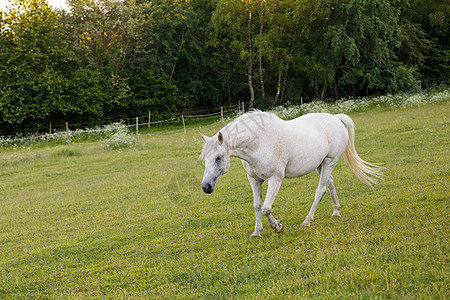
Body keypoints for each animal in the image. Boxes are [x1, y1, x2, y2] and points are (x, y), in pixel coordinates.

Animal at [202, 111, 382, 238]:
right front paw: (257, 232)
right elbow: (257, 206)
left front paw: (278, 227)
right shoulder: (254, 180)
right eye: (204, 158)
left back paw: (307, 221)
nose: (206, 187)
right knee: (330, 183)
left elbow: (266, 208)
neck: (259, 142)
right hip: (320, 165)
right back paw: (336, 212)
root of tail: (336, 118)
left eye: (219, 157)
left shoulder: (275, 180)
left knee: (320, 190)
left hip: (330, 162)